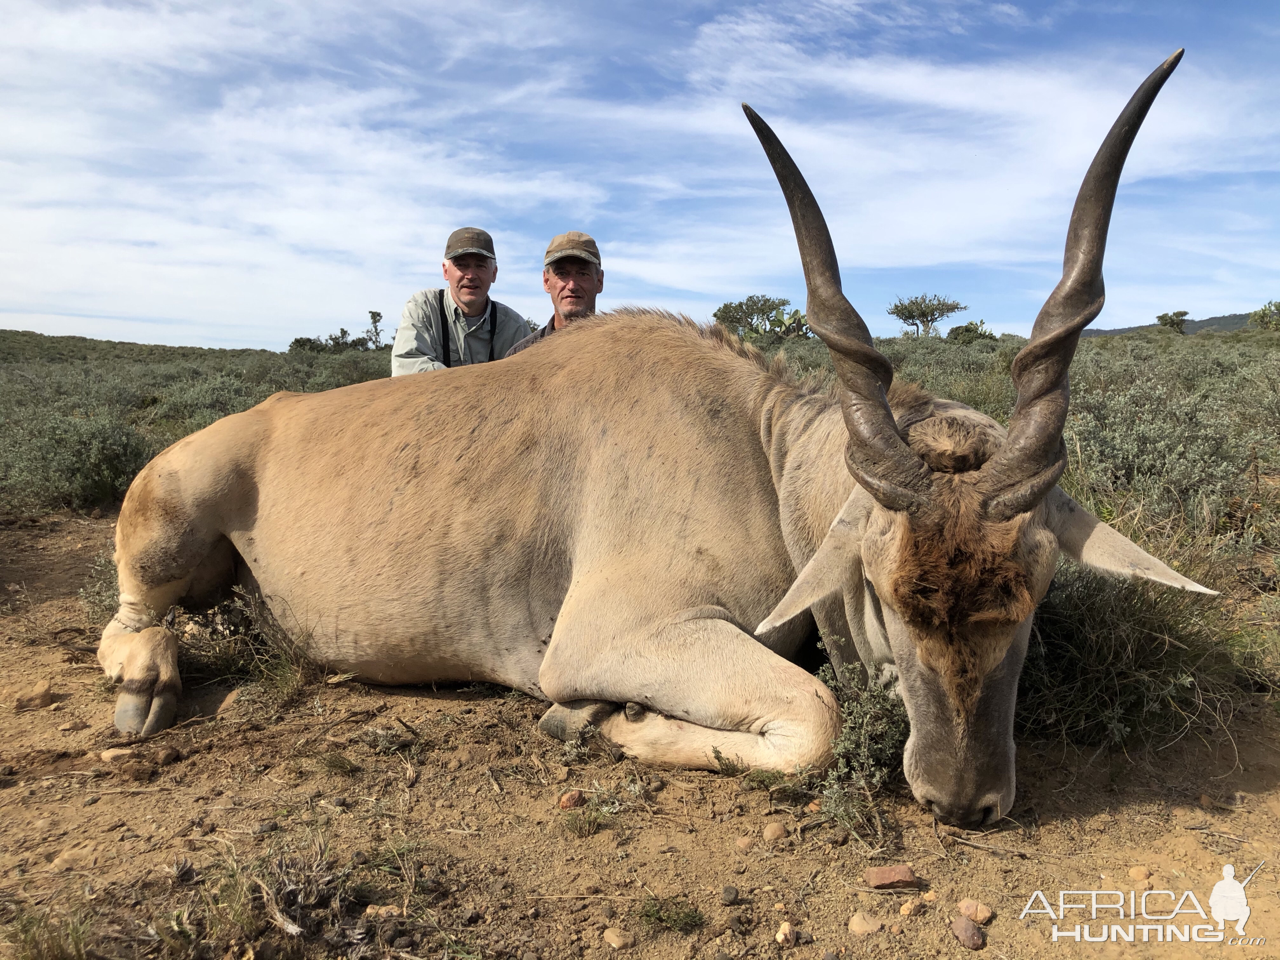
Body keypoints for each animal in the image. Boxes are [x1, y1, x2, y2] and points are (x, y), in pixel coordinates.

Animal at [102, 48, 1208, 829]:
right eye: (885, 592)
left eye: (1036, 586)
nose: (963, 799)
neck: (759, 456)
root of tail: (264, 417)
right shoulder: (616, 636)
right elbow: (815, 720)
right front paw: (606, 721)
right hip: (171, 511)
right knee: (135, 613)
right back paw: (141, 686)